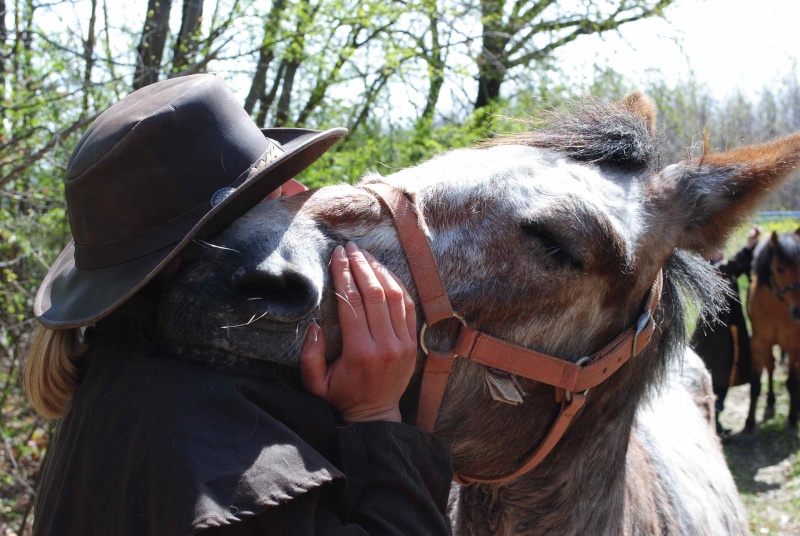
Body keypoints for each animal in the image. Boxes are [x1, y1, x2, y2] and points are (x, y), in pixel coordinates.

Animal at [744, 230, 800, 432]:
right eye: (779, 268)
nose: (799, 311)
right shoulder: (759, 343)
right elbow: (755, 382)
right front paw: (749, 422)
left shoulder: (794, 345)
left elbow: (792, 383)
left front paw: (792, 418)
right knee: (771, 365)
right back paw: (770, 402)